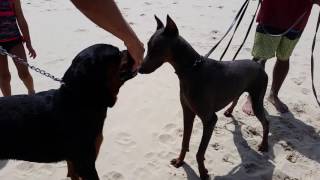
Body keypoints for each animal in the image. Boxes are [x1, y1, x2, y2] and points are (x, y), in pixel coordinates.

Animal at [140, 16, 270, 179]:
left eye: (157, 48)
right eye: (147, 46)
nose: (139, 69)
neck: (192, 70)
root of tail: (259, 64)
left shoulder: (210, 120)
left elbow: (199, 152)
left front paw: (203, 172)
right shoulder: (188, 112)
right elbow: (185, 141)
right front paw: (180, 161)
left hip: (257, 99)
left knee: (266, 122)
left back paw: (264, 145)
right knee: (236, 98)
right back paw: (229, 111)